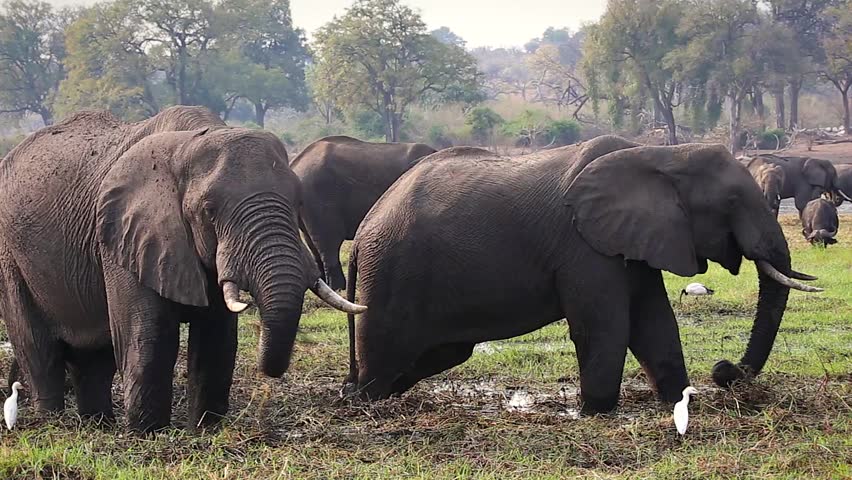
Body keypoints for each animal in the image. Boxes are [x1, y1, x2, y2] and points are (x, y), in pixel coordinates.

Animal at [0, 105, 362, 432]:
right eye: (209, 211)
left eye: (297, 202)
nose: (269, 374)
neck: (190, 141)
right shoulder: (123, 238)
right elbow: (149, 335)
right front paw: (149, 434)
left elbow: (217, 337)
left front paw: (206, 430)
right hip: (10, 258)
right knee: (38, 347)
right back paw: (54, 422)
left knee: (93, 358)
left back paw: (97, 425)